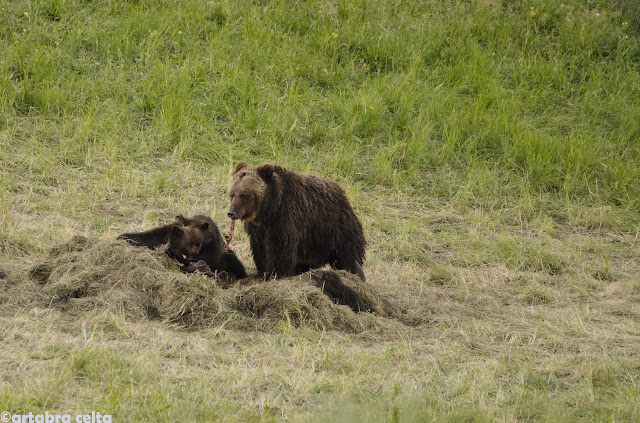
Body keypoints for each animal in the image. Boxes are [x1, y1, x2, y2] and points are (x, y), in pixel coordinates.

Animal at [226, 162, 364, 282]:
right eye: (232, 194)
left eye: (244, 195)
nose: (231, 212)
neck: (269, 210)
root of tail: (343, 195)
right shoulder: (258, 227)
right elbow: (259, 248)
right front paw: (262, 273)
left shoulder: (285, 217)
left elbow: (281, 248)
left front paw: (276, 273)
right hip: (313, 242)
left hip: (335, 229)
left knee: (349, 256)